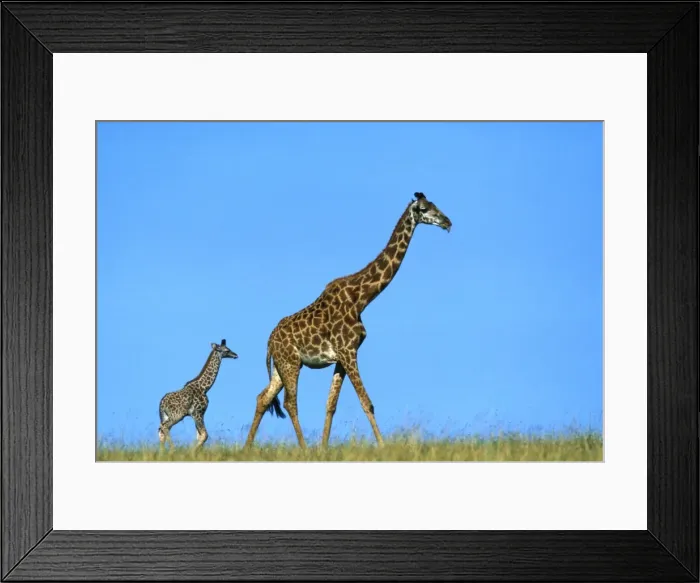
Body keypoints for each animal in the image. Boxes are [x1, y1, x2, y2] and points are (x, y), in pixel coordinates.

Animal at [244, 192, 452, 449]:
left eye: (435, 205)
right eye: (424, 209)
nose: (447, 222)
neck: (361, 298)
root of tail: (269, 342)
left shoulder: (342, 356)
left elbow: (330, 405)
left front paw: (324, 448)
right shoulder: (348, 351)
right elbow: (367, 403)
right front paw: (382, 446)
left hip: (282, 366)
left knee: (263, 398)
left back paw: (247, 447)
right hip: (290, 363)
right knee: (289, 402)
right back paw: (303, 448)